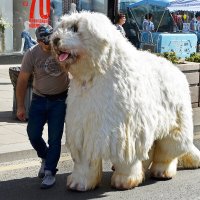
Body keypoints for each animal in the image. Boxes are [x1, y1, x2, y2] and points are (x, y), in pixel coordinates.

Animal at [51, 11, 200, 191]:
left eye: (75, 28)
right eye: (61, 27)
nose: (54, 40)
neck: (96, 73)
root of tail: (177, 70)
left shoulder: (127, 132)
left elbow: (126, 160)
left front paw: (124, 181)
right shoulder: (85, 129)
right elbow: (85, 161)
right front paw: (79, 183)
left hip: (174, 126)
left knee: (168, 152)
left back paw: (162, 172)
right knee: (151, 151)